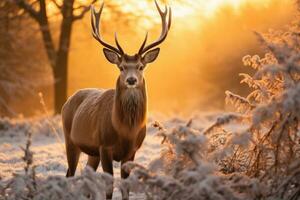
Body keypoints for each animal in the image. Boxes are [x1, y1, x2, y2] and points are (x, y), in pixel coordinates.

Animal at [61, 0, 171, 199]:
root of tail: (67, 101)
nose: (131, 80)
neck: (125, 131)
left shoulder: (131, 151)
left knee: (85, 175)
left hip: (92, 152)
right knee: (69, 174)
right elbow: (109, 188)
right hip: (70, 140)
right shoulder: (105, 147)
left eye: (141, 66)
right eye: (121, 67)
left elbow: (125, 188)